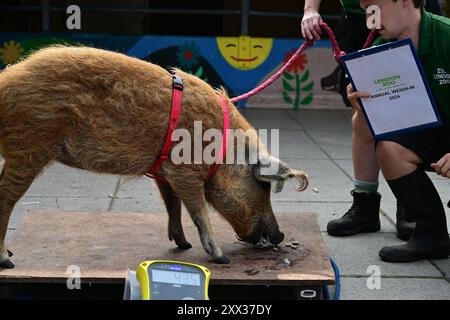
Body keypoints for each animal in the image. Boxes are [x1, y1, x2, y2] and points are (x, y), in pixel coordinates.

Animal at [0, 45, 308, 268]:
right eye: (262, 186)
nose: (280, 235)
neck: (221, 151)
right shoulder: (185, 171)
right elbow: (198, 210)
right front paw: (221, 258)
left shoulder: (165, 172)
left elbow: (173, 205)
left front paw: (183, 245)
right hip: (29, 146)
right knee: (6, 198)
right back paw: (8, 261)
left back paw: (12, 254)